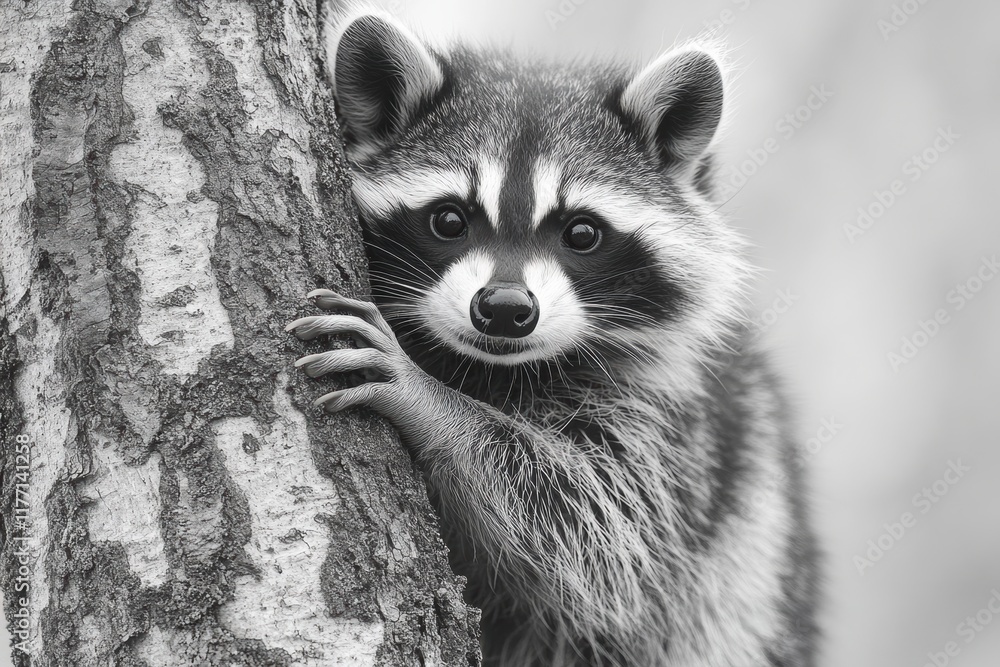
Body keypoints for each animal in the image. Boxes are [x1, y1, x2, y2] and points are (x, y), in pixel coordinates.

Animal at [287, 7, 819, 666]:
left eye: (582, 233)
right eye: (449, 219)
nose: (504, 308)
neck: (496, 368)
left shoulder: (673, 425)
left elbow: (593, 530)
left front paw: (430, 402)